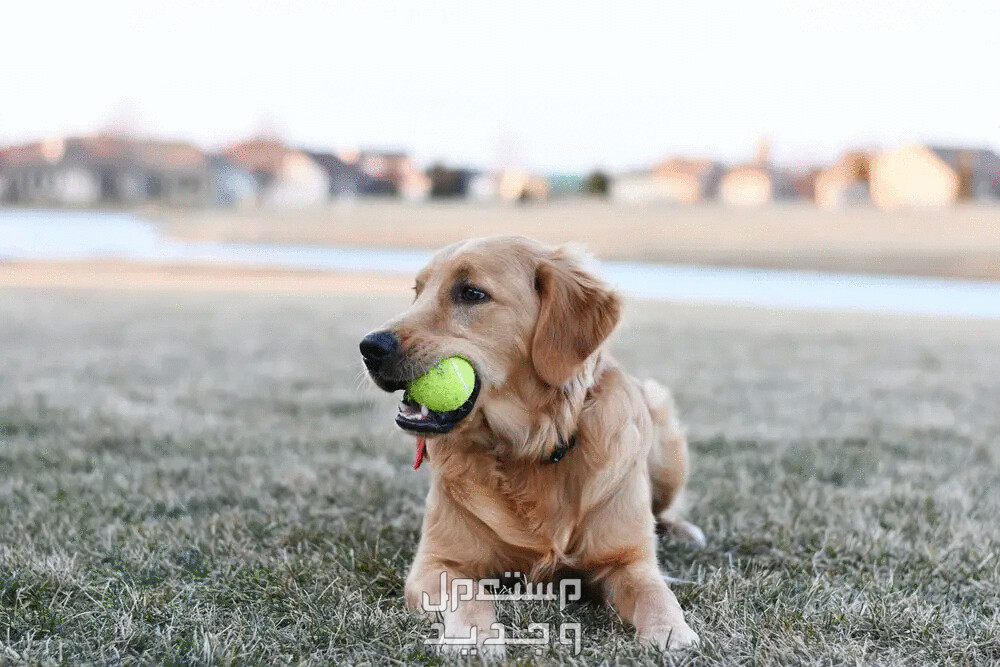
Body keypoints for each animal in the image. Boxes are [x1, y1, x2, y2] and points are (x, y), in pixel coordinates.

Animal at [362, 237, 704, 656]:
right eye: (417, 291)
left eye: (471, 293)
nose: (369, 346)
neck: (528, 449)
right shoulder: (437, 562)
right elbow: (470, 594)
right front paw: (475, 636)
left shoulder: (628, 561)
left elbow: (656, 594)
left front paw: (671, 632)